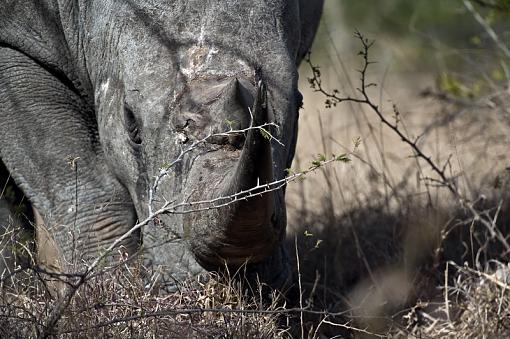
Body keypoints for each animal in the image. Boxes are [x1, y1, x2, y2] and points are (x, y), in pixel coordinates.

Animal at [0, 1, 324, 290]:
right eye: (131, 124)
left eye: (299, 107)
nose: (229, 286)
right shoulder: (11, 46)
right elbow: (74, 177)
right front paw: (111, 288)